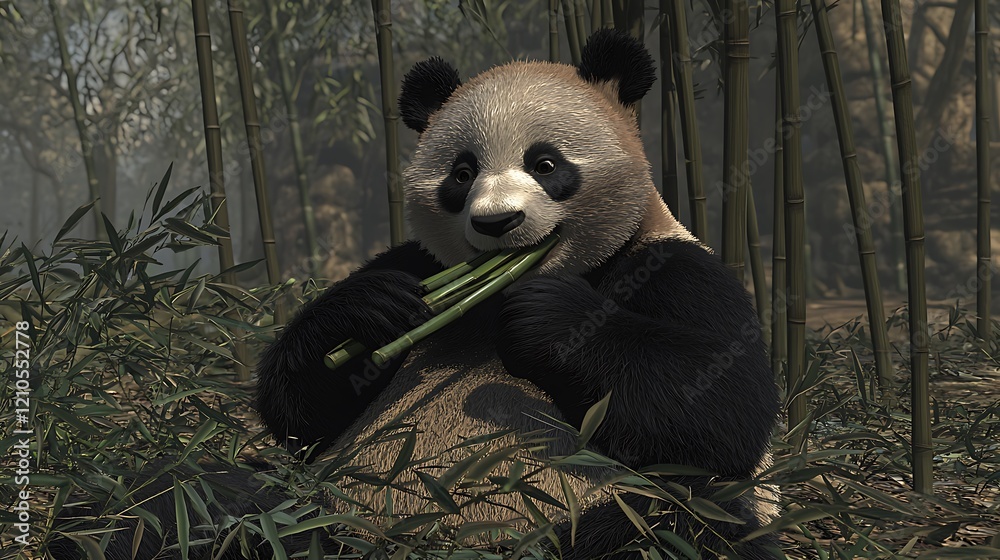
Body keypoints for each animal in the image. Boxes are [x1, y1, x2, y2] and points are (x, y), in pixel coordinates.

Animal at [253, 28, 782, 560]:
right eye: (462, 174)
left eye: (545, 164)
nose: (497, 221)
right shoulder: (421, 263)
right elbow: (303, 415)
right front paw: (369, 311)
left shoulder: (671, 269)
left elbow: (725, 407)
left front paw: (544, 318)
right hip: (318, 508)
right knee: (256, 503)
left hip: (597, 516)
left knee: (682, 519)